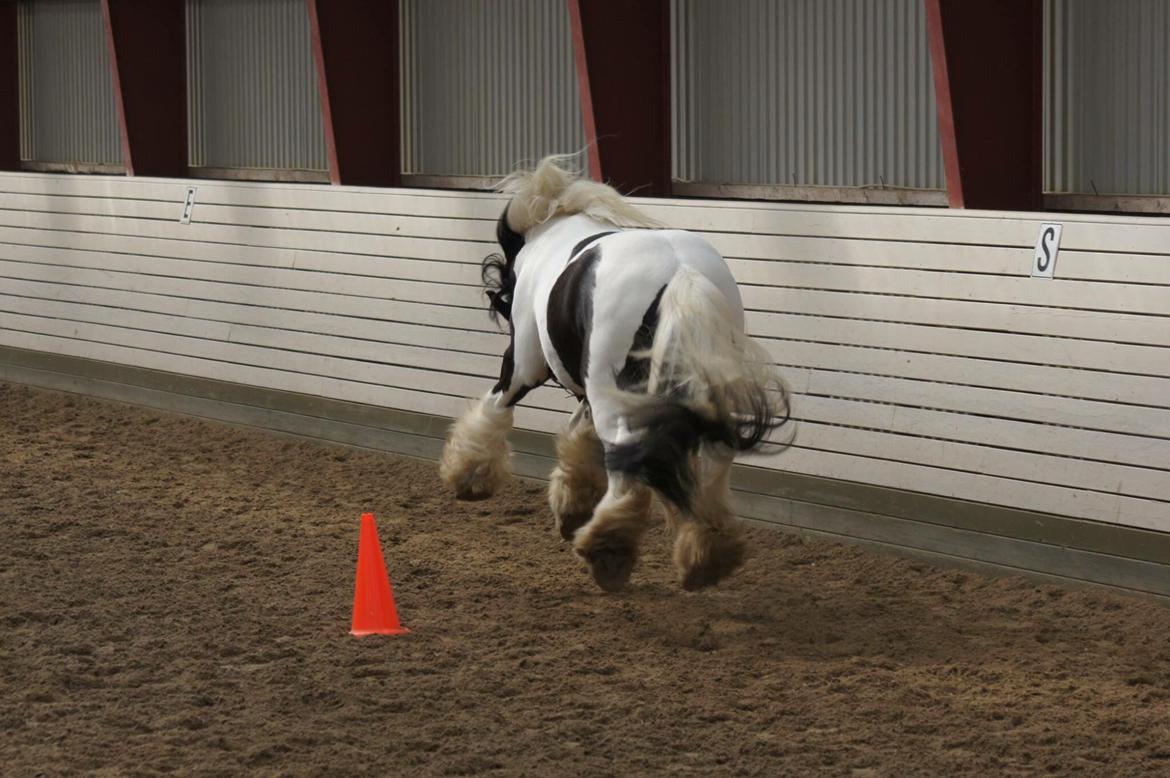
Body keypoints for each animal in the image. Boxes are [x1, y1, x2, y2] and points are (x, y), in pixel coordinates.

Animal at [439, 156, 795, 589]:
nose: (499, 298)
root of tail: (682, 274)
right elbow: (580, 434)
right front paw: (572, 505)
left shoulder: (526, 364)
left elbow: (496, 408)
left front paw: (468, 475)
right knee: (712, 459)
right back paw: (706, 555)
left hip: (605, 391)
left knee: (629, 460)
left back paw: (609, 550)